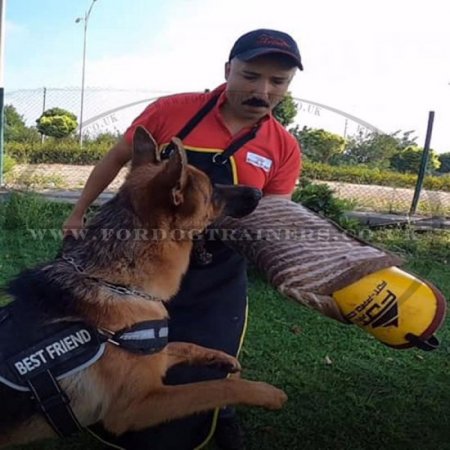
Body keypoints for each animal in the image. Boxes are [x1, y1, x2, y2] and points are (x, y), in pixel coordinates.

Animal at [0, 125, 288, 446]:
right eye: (212, 190)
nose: (259, 192)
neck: (115, 283)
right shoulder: (137, 408)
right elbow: (213, 388)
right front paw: (266, 393)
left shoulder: (156, 357)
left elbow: (183, 344)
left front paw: (223, 359)